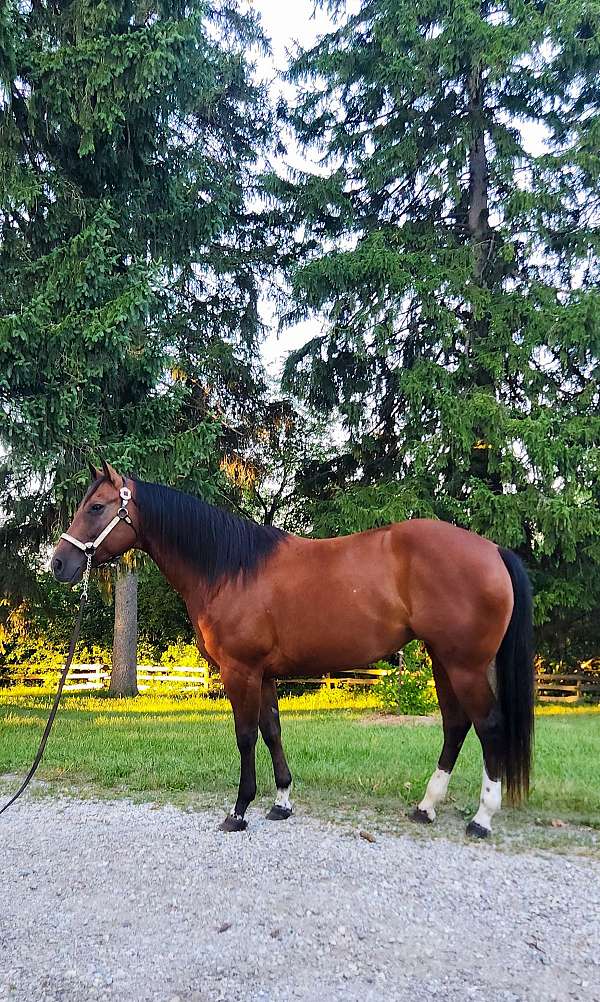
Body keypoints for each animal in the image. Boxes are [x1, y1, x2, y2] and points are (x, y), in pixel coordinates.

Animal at [51, 460, 534, 836]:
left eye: (96, 507)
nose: (58, 564)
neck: (229, 568)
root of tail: (492, 549)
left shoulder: (240, 671)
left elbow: (245, 736)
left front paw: (238, 811)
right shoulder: (263, 674)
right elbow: (272, 731)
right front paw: (281, 801)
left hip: (464, 664)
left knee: (488, 725)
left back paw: (481, 818)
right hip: (443, 660)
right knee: (456, 725)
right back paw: (426, 807)